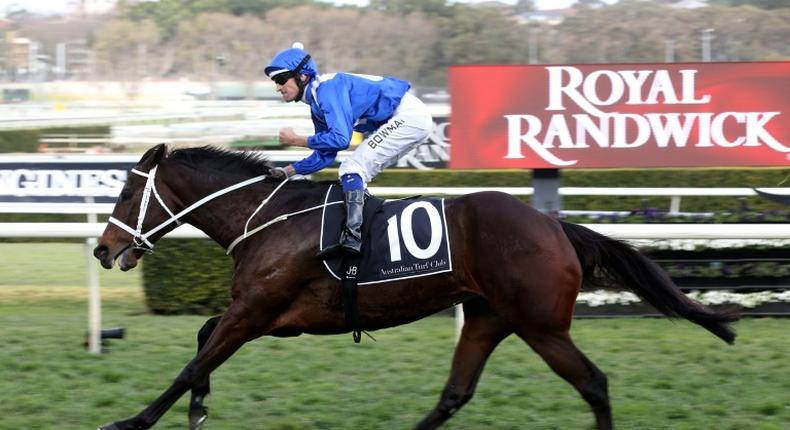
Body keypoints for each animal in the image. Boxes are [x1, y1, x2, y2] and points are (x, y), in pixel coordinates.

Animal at [94, 144, 744, 430]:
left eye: (125, 192)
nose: (102, 249)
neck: (269, 218)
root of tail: (553, 225)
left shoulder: (258, 312)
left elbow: (192, 362)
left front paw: (132, 422)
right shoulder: (270, 316)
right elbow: (202, 343)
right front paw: (198, 407)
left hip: (538, 323)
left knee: (593, 383)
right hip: (488, 316)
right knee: (456, 392)